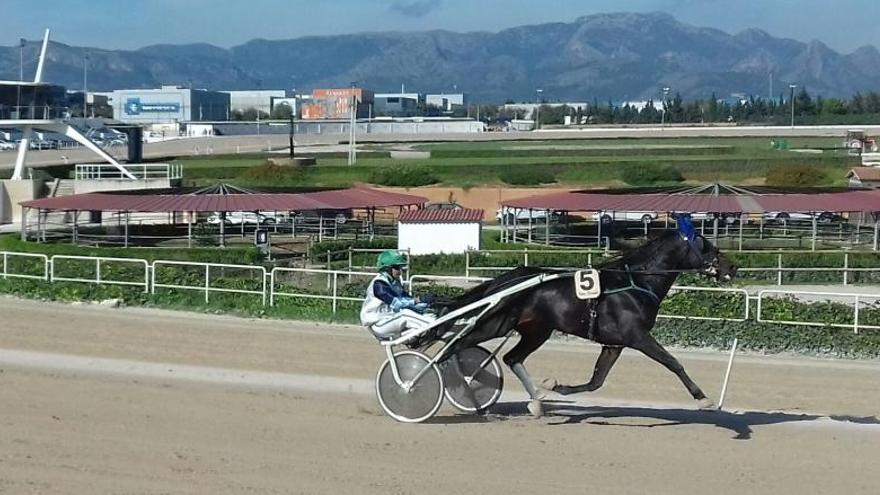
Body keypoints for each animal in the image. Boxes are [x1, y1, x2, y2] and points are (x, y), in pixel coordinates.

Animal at [434, 229, 736, 418]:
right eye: (706, 246)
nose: (732, 268)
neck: (636, 283)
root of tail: (505, 280)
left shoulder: (614, 344)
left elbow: (596, 382)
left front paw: (555, 387)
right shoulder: (637, 337)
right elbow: (673, 363)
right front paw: (703, 398)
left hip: (537, 330)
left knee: (511, 357)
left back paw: (535, 403)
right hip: (496, 323)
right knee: (453, 346)